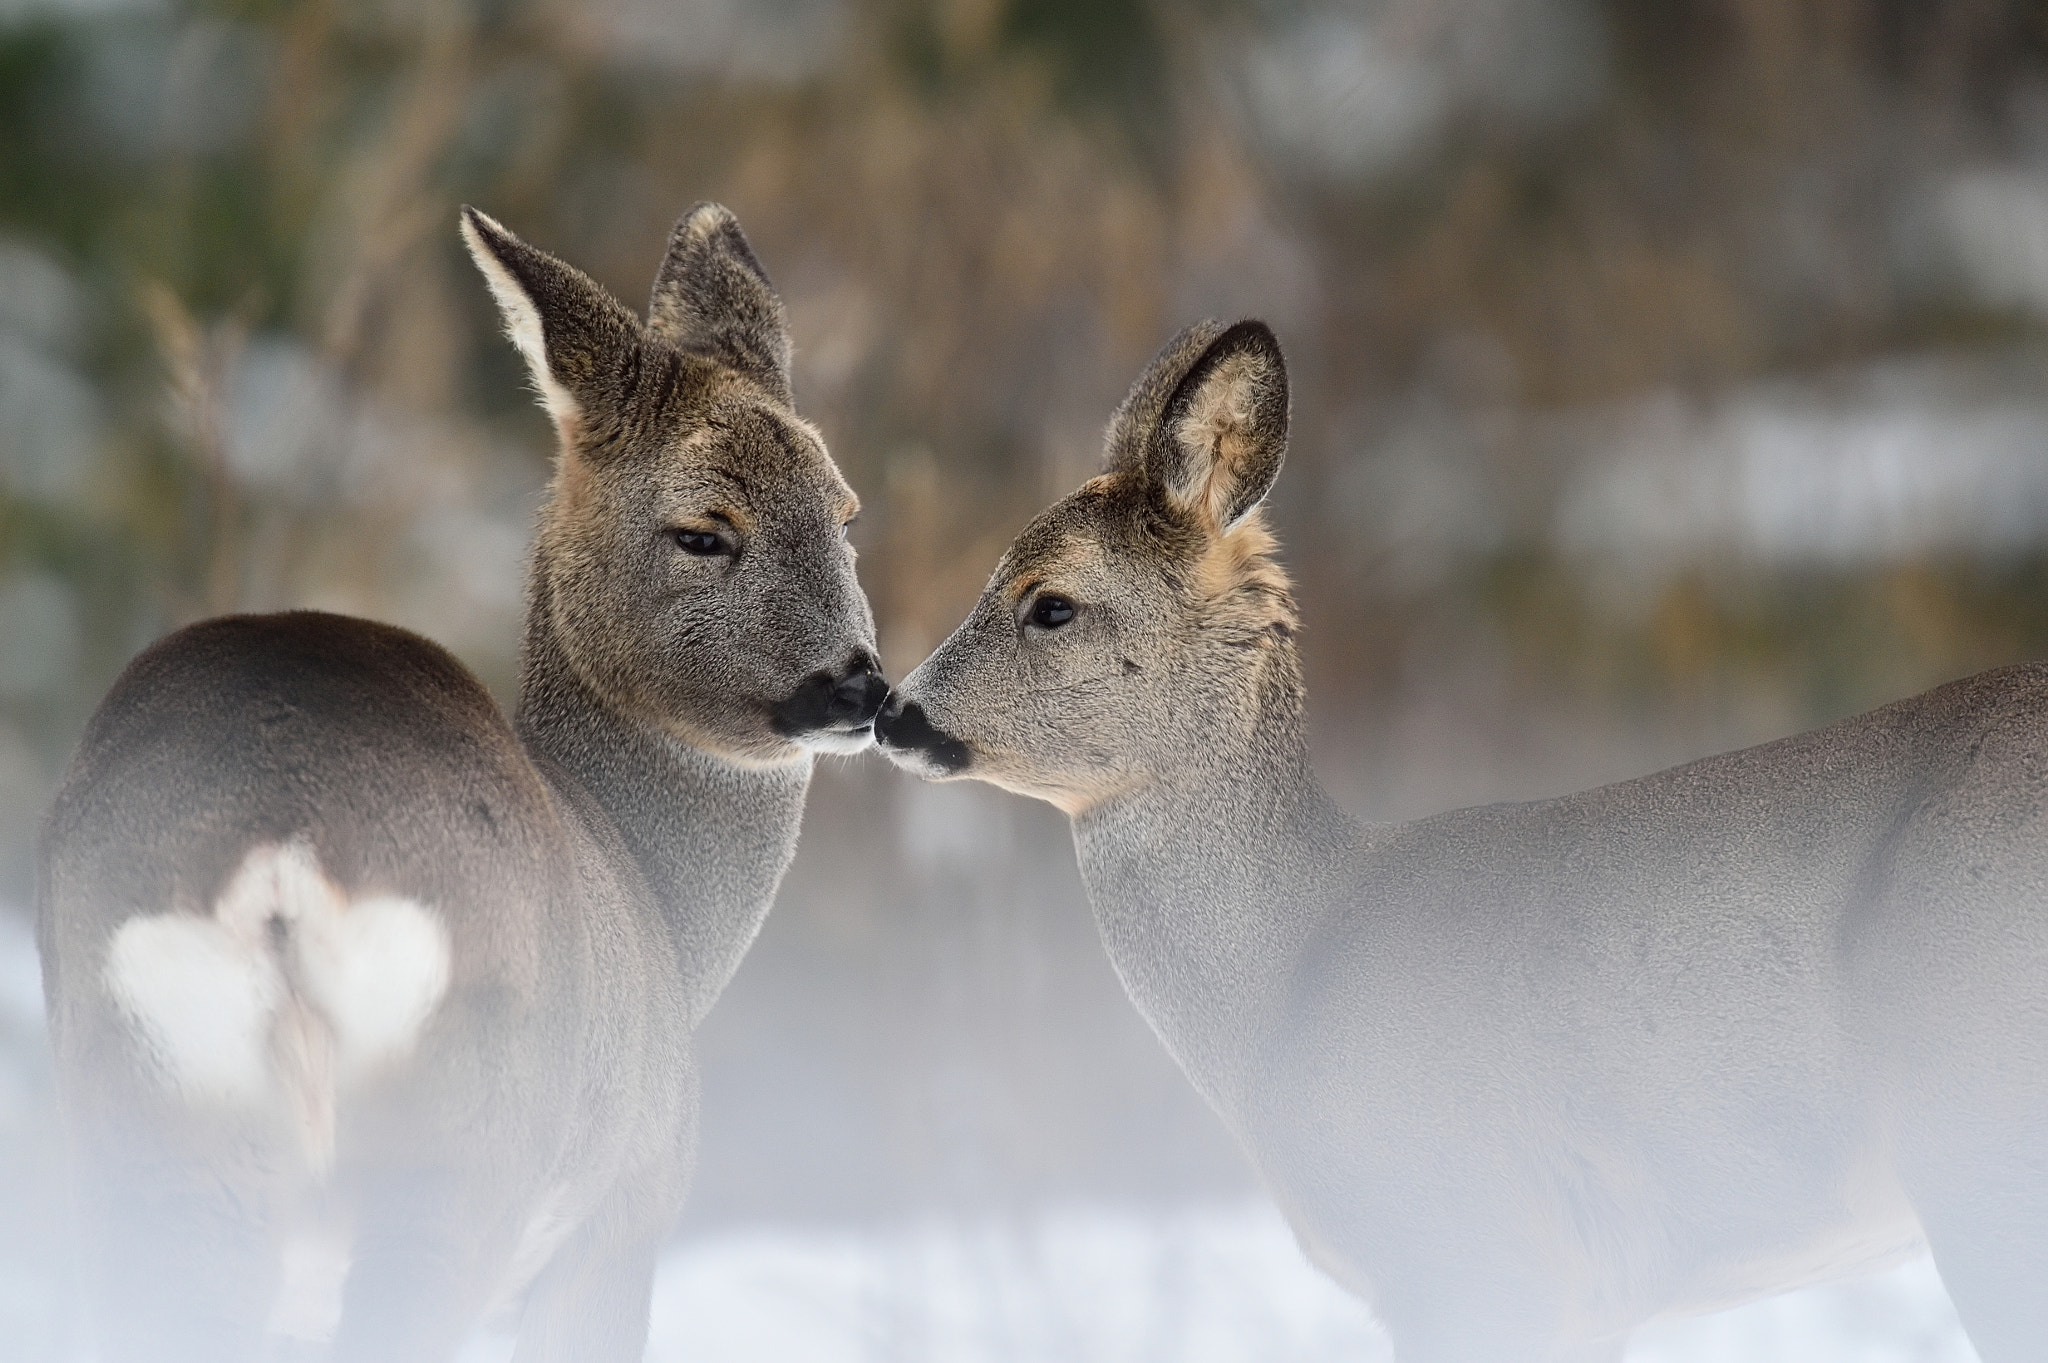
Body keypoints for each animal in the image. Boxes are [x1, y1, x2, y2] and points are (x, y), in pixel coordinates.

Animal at [37, 201, 888, 1358]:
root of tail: (277, 849)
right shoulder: (625, 1206)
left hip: (143, 1122)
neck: (658, 900)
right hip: (466, 1139)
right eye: (703, 531)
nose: (859, 684)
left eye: (845, 513)